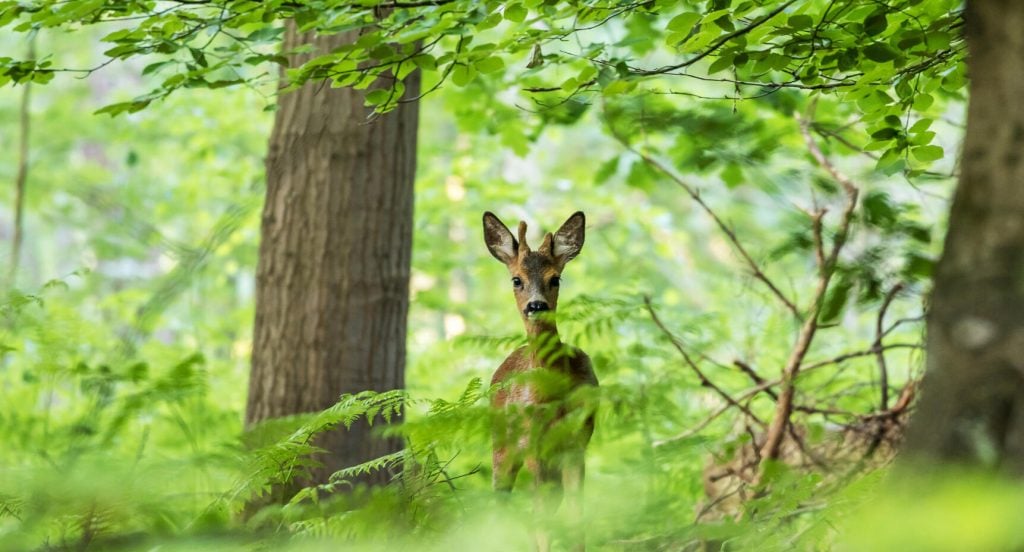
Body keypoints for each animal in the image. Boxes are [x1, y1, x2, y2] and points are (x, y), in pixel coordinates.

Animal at [481, 211, 598, 552]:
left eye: (555, 278)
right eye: (516, 279)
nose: (536, 305)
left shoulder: (577, 442)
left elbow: (575, 516)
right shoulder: (534, 444)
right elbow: (540, 517)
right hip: (502, 445)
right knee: (503, 502)